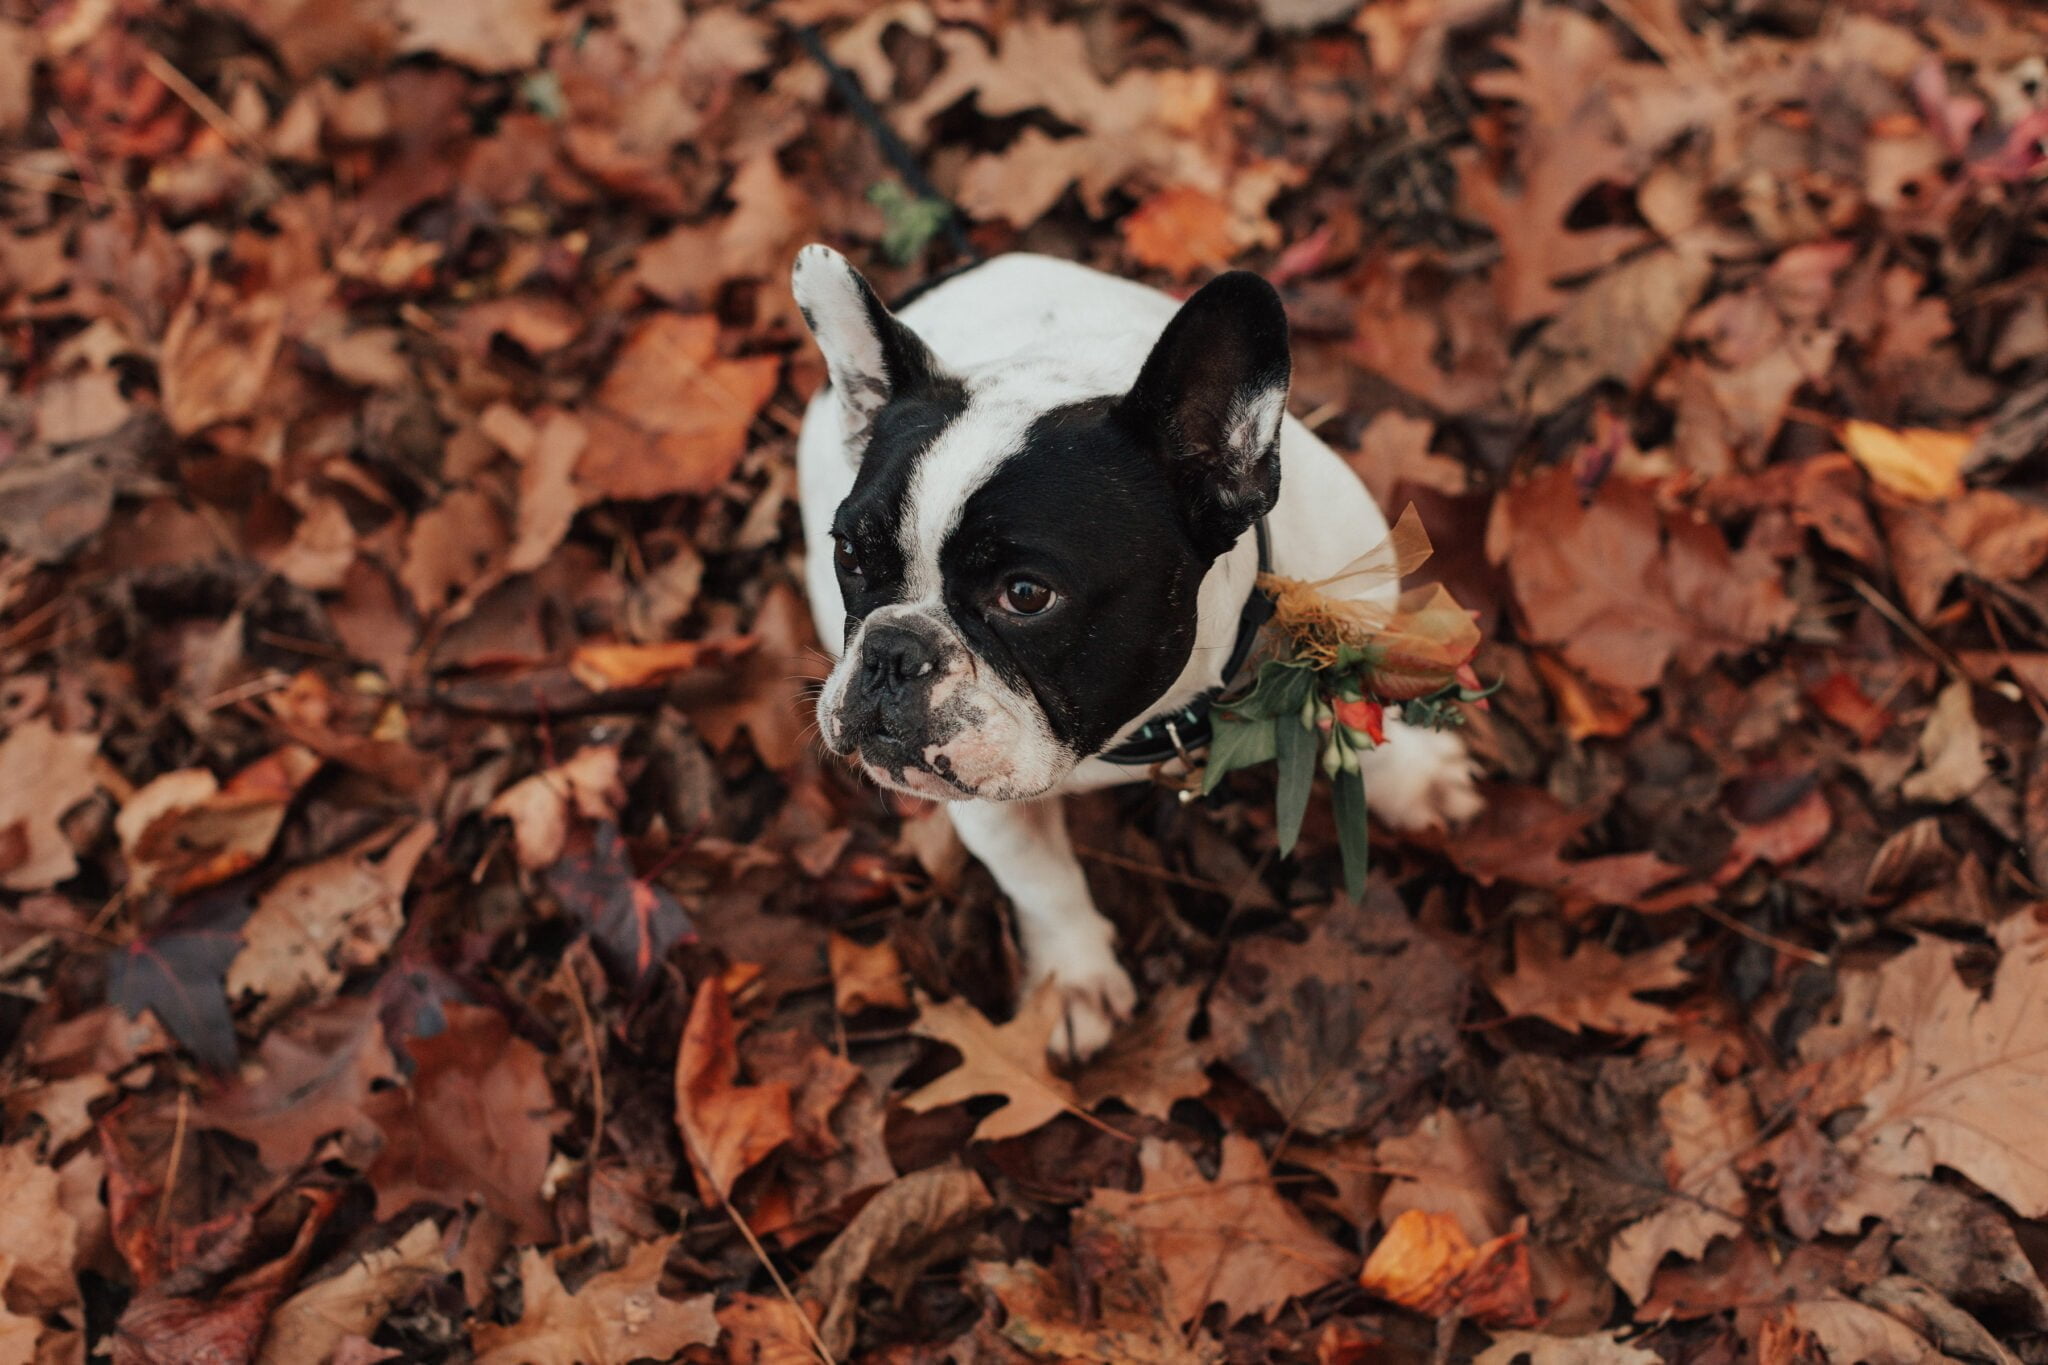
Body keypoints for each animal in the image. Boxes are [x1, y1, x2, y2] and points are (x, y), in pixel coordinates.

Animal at [792, 247, 1480, 1060]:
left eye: (1026, 594)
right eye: (850, 554)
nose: (894, 650)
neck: (1156, 720)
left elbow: (1356, 701)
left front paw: (1413, 779)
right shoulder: (983, 801)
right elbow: (1042, 882)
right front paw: (1073, 981)